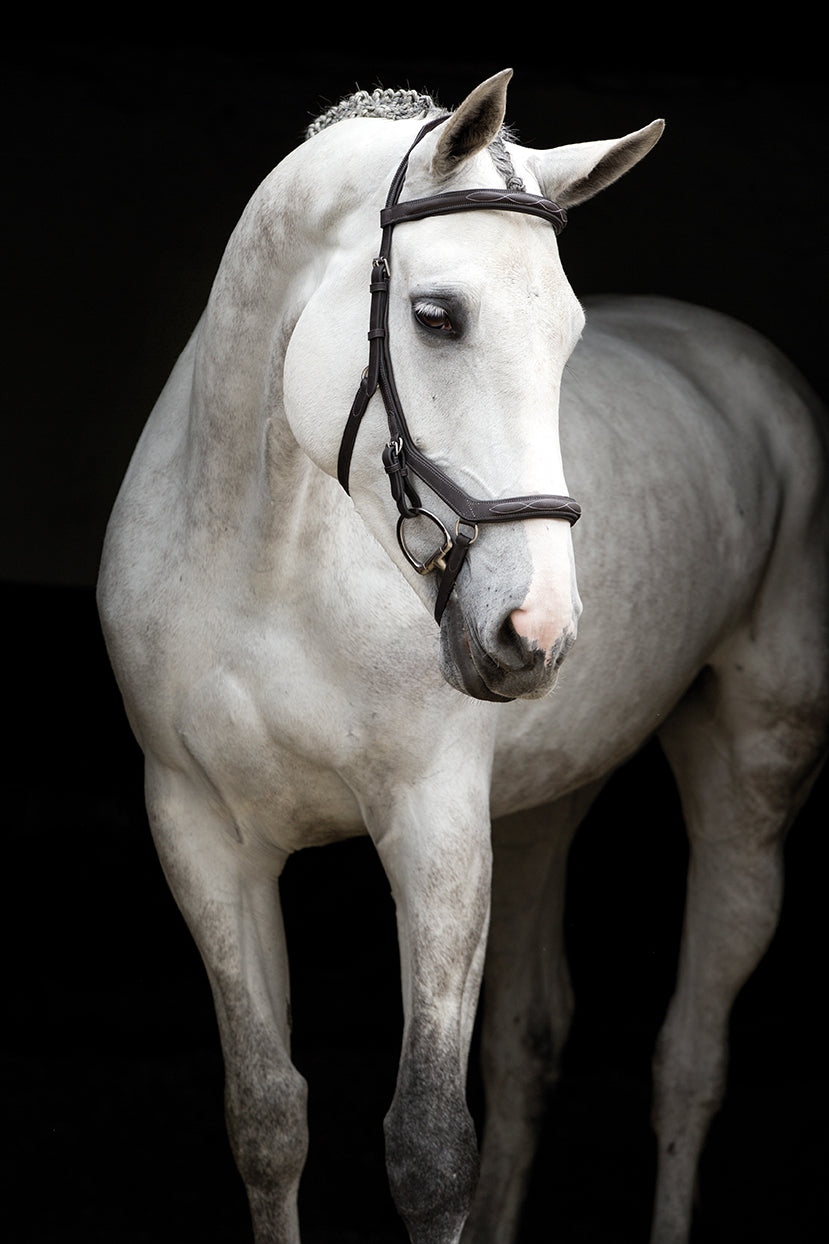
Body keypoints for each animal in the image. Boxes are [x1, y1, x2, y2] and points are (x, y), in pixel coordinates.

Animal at [98, 70, 826, 1244]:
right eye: (437, 316)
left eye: (569, 333)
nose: (534, 629)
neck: (265, 566)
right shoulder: (201, 833)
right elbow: (267, 1119)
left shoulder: (432, 827)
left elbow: (430, 1148)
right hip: (536, 809)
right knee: (530, 1046)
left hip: (749, 782)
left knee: (689, 1058)